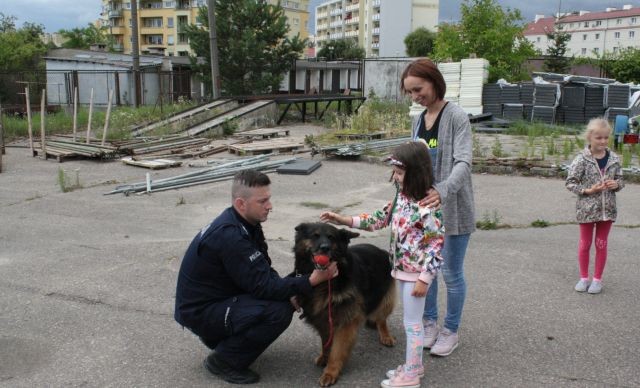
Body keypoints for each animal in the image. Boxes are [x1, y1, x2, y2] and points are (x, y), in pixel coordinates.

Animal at [294, 223, 396, 386]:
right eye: (315, 236)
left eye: (331, 237)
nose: (324, 248)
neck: (327, 282)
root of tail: (381, 250)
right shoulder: (324, 320)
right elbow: (326, 344)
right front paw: (324, 357)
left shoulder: (346, 322)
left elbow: (337, 350)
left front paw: (330, 372)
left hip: (385, 298)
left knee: (381, 318)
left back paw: (385, 335)